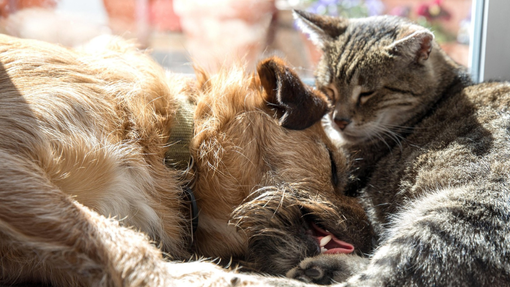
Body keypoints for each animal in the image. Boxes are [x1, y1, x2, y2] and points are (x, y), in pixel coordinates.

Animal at [286, 10, 510, 286]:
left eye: (367, 93)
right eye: (329, 89)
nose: (338, 120)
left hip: (446, 222)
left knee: (378, 278)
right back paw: (322, 268)